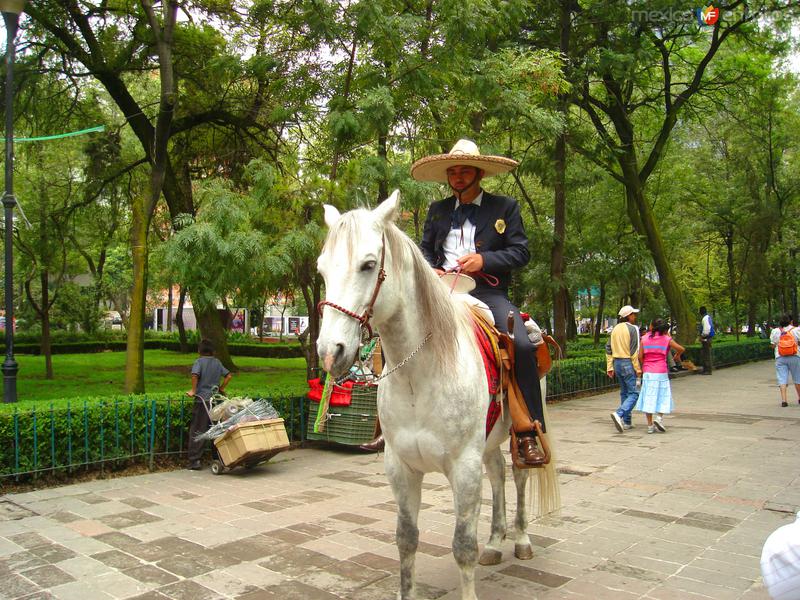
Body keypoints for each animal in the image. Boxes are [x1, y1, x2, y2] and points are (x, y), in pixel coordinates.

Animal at [316, 191, 560, 600]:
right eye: (321, 270)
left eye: (368, 265)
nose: (330, 352)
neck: (419, 373)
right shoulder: (400, 467)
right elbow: (406, 539)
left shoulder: (463, 467)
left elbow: (462, 546)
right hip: (487, 442)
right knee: (497, 473)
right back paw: (495, 542)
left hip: (521, 424)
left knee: (519, 474)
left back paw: (521, 539)